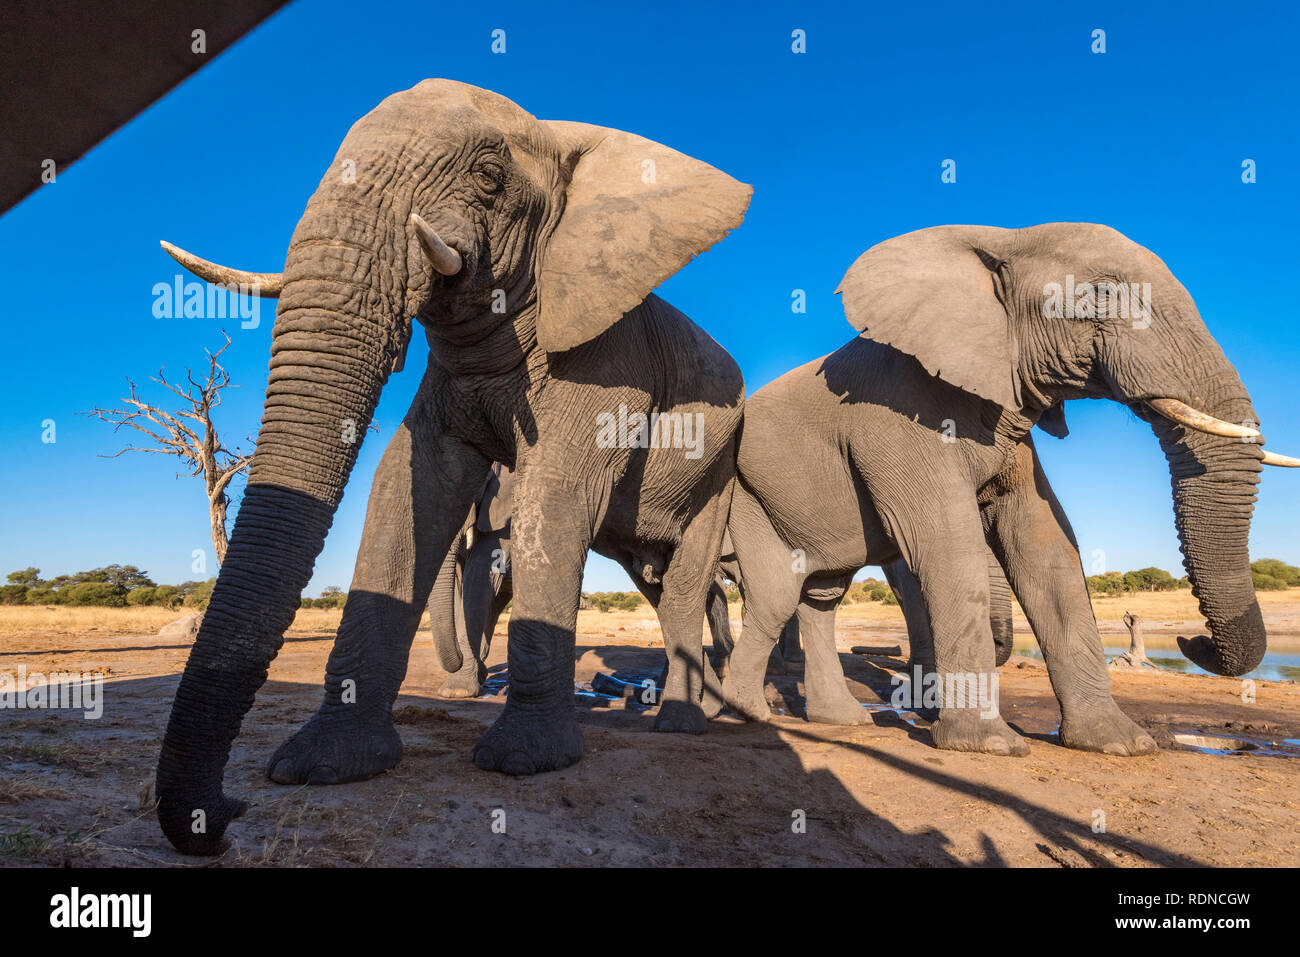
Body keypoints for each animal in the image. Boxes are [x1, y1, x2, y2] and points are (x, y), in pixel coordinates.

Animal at [728, 222, 1294, 754]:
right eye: (1102, 294)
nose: (1190, 639)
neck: (1004, 239)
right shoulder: (892, 419)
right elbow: (947, 542)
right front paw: (989, 745)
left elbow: (1047, 544)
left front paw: (1120, 743)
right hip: (748, 500)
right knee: (778, 595)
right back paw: (746, 712)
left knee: (819, 596)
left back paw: (840, 721)